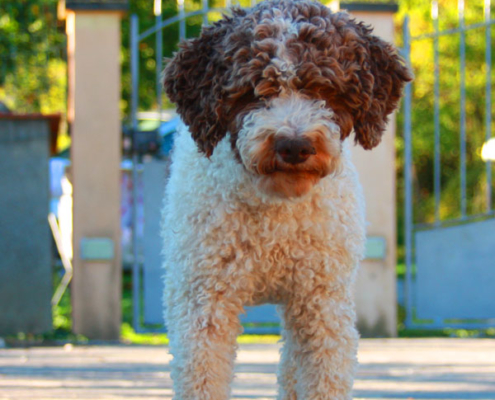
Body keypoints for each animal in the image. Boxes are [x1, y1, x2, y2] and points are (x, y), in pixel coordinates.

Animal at [161, 1, 412, 398]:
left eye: (324, 88)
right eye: (253, 91)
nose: (294, 145)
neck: (275, 212)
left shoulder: (321, 303)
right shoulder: (202, 302)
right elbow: (203, 378)